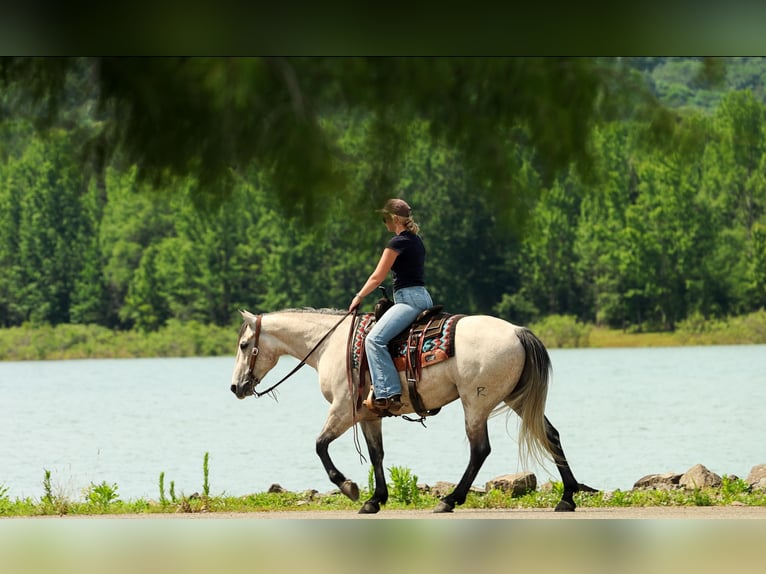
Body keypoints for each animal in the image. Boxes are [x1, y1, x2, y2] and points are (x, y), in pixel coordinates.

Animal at [230, 308, 589, 514]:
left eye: (244, 345)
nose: (236, 387)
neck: (331, 344)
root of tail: (517, 331)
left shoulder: (342, 410)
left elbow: (320, 446)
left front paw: (349, 488)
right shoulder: (368, 416)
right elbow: (376, 455)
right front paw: (375, 499)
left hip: (476, 403)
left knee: (479, 450)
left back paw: (450, 500)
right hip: (516, 399)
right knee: (551, 436)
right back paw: (567, 497)